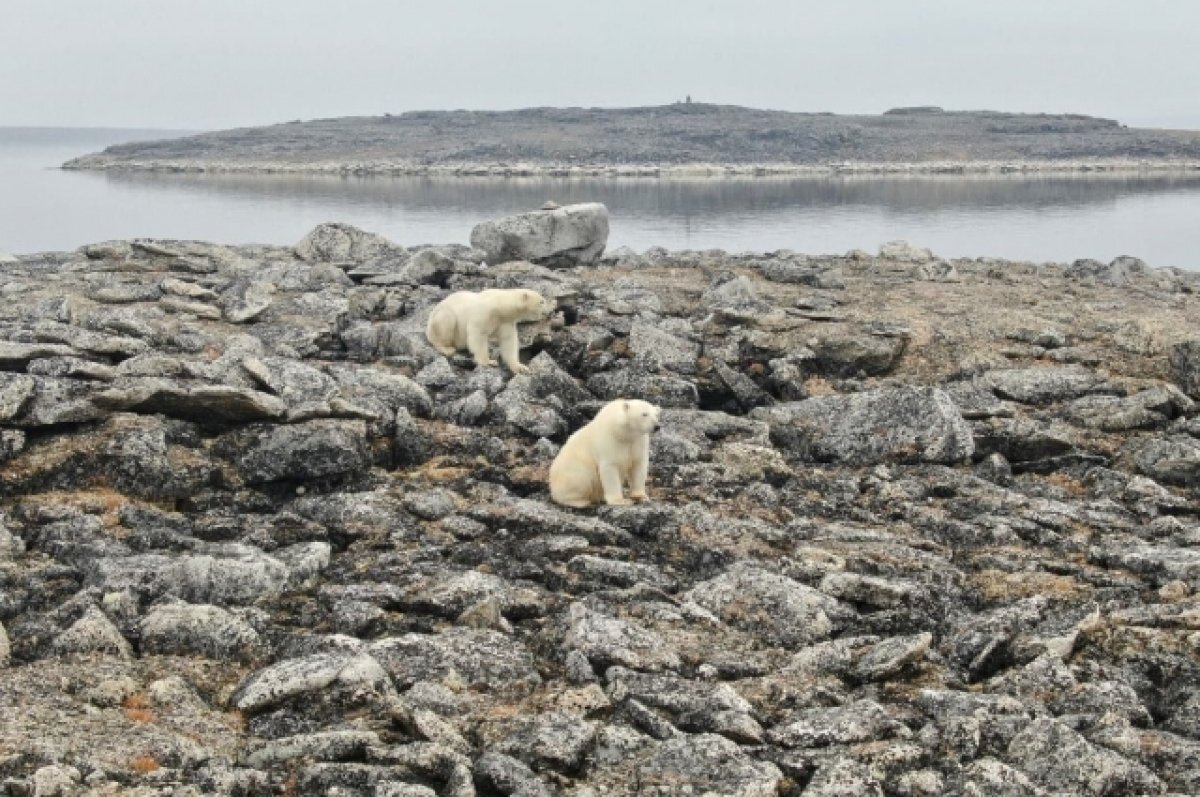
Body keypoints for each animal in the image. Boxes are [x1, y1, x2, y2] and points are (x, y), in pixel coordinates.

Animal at [424, 286, 554, 374]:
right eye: (542, 301)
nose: (550, 311)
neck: (501, 306)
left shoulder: (506, 322)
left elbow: (508, 342)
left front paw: (520, 367)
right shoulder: (485, 313)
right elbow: (477, 334)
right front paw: (488, 361)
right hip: (441, 318)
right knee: (445, 322)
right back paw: (447, 349)